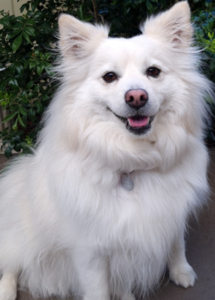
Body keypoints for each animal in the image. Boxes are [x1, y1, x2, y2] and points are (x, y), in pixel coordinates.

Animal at [0, 2, 212, 300]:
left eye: (153, 72)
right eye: (110, 77)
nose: (136, 97)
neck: (133, 162)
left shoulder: (173, 213)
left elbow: (176, 243)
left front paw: (181, 271)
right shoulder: (90, 251)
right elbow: (98, 288)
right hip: (23, 238)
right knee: (10, 262)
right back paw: (6, 290)